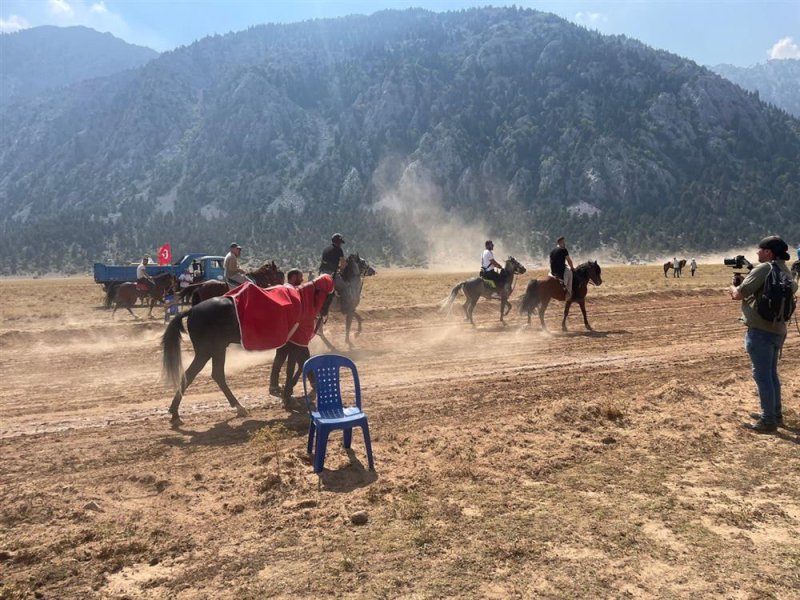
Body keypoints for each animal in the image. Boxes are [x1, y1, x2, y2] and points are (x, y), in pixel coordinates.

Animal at [161, 274, 336, 424]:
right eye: (330, 295)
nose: (323, 314)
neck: (302, 301)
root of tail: (192, 310)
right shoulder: (298, 341)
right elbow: (300, 364)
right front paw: (292, 394)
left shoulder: (289, 343)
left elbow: (289, 364)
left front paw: (285, 393)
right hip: (207, 351)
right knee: (194, 375)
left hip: (216, 349)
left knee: (212, 375)